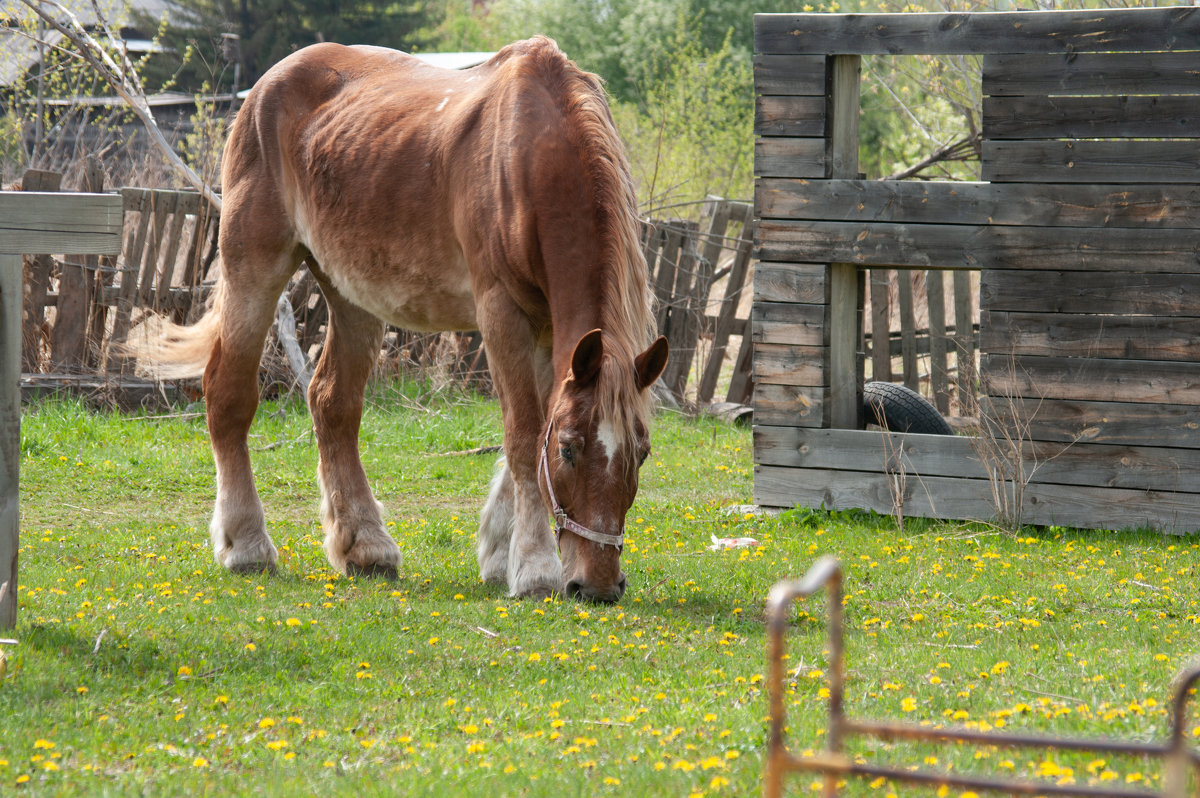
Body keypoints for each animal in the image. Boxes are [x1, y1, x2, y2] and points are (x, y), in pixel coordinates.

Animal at [142, 34, 667, 600]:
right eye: (569, 450)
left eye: (641, 453)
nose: (598, 585)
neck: (533, 156)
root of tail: (266, 84)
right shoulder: (501, 311)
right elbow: (525, 436)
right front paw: (533, 566)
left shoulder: (552, 331)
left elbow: (525, 432)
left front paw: (498, 552)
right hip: (253, 265)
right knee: (229, 394)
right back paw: (247, 545)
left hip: (352, 292)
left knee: (332, 403)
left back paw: (366, 546)